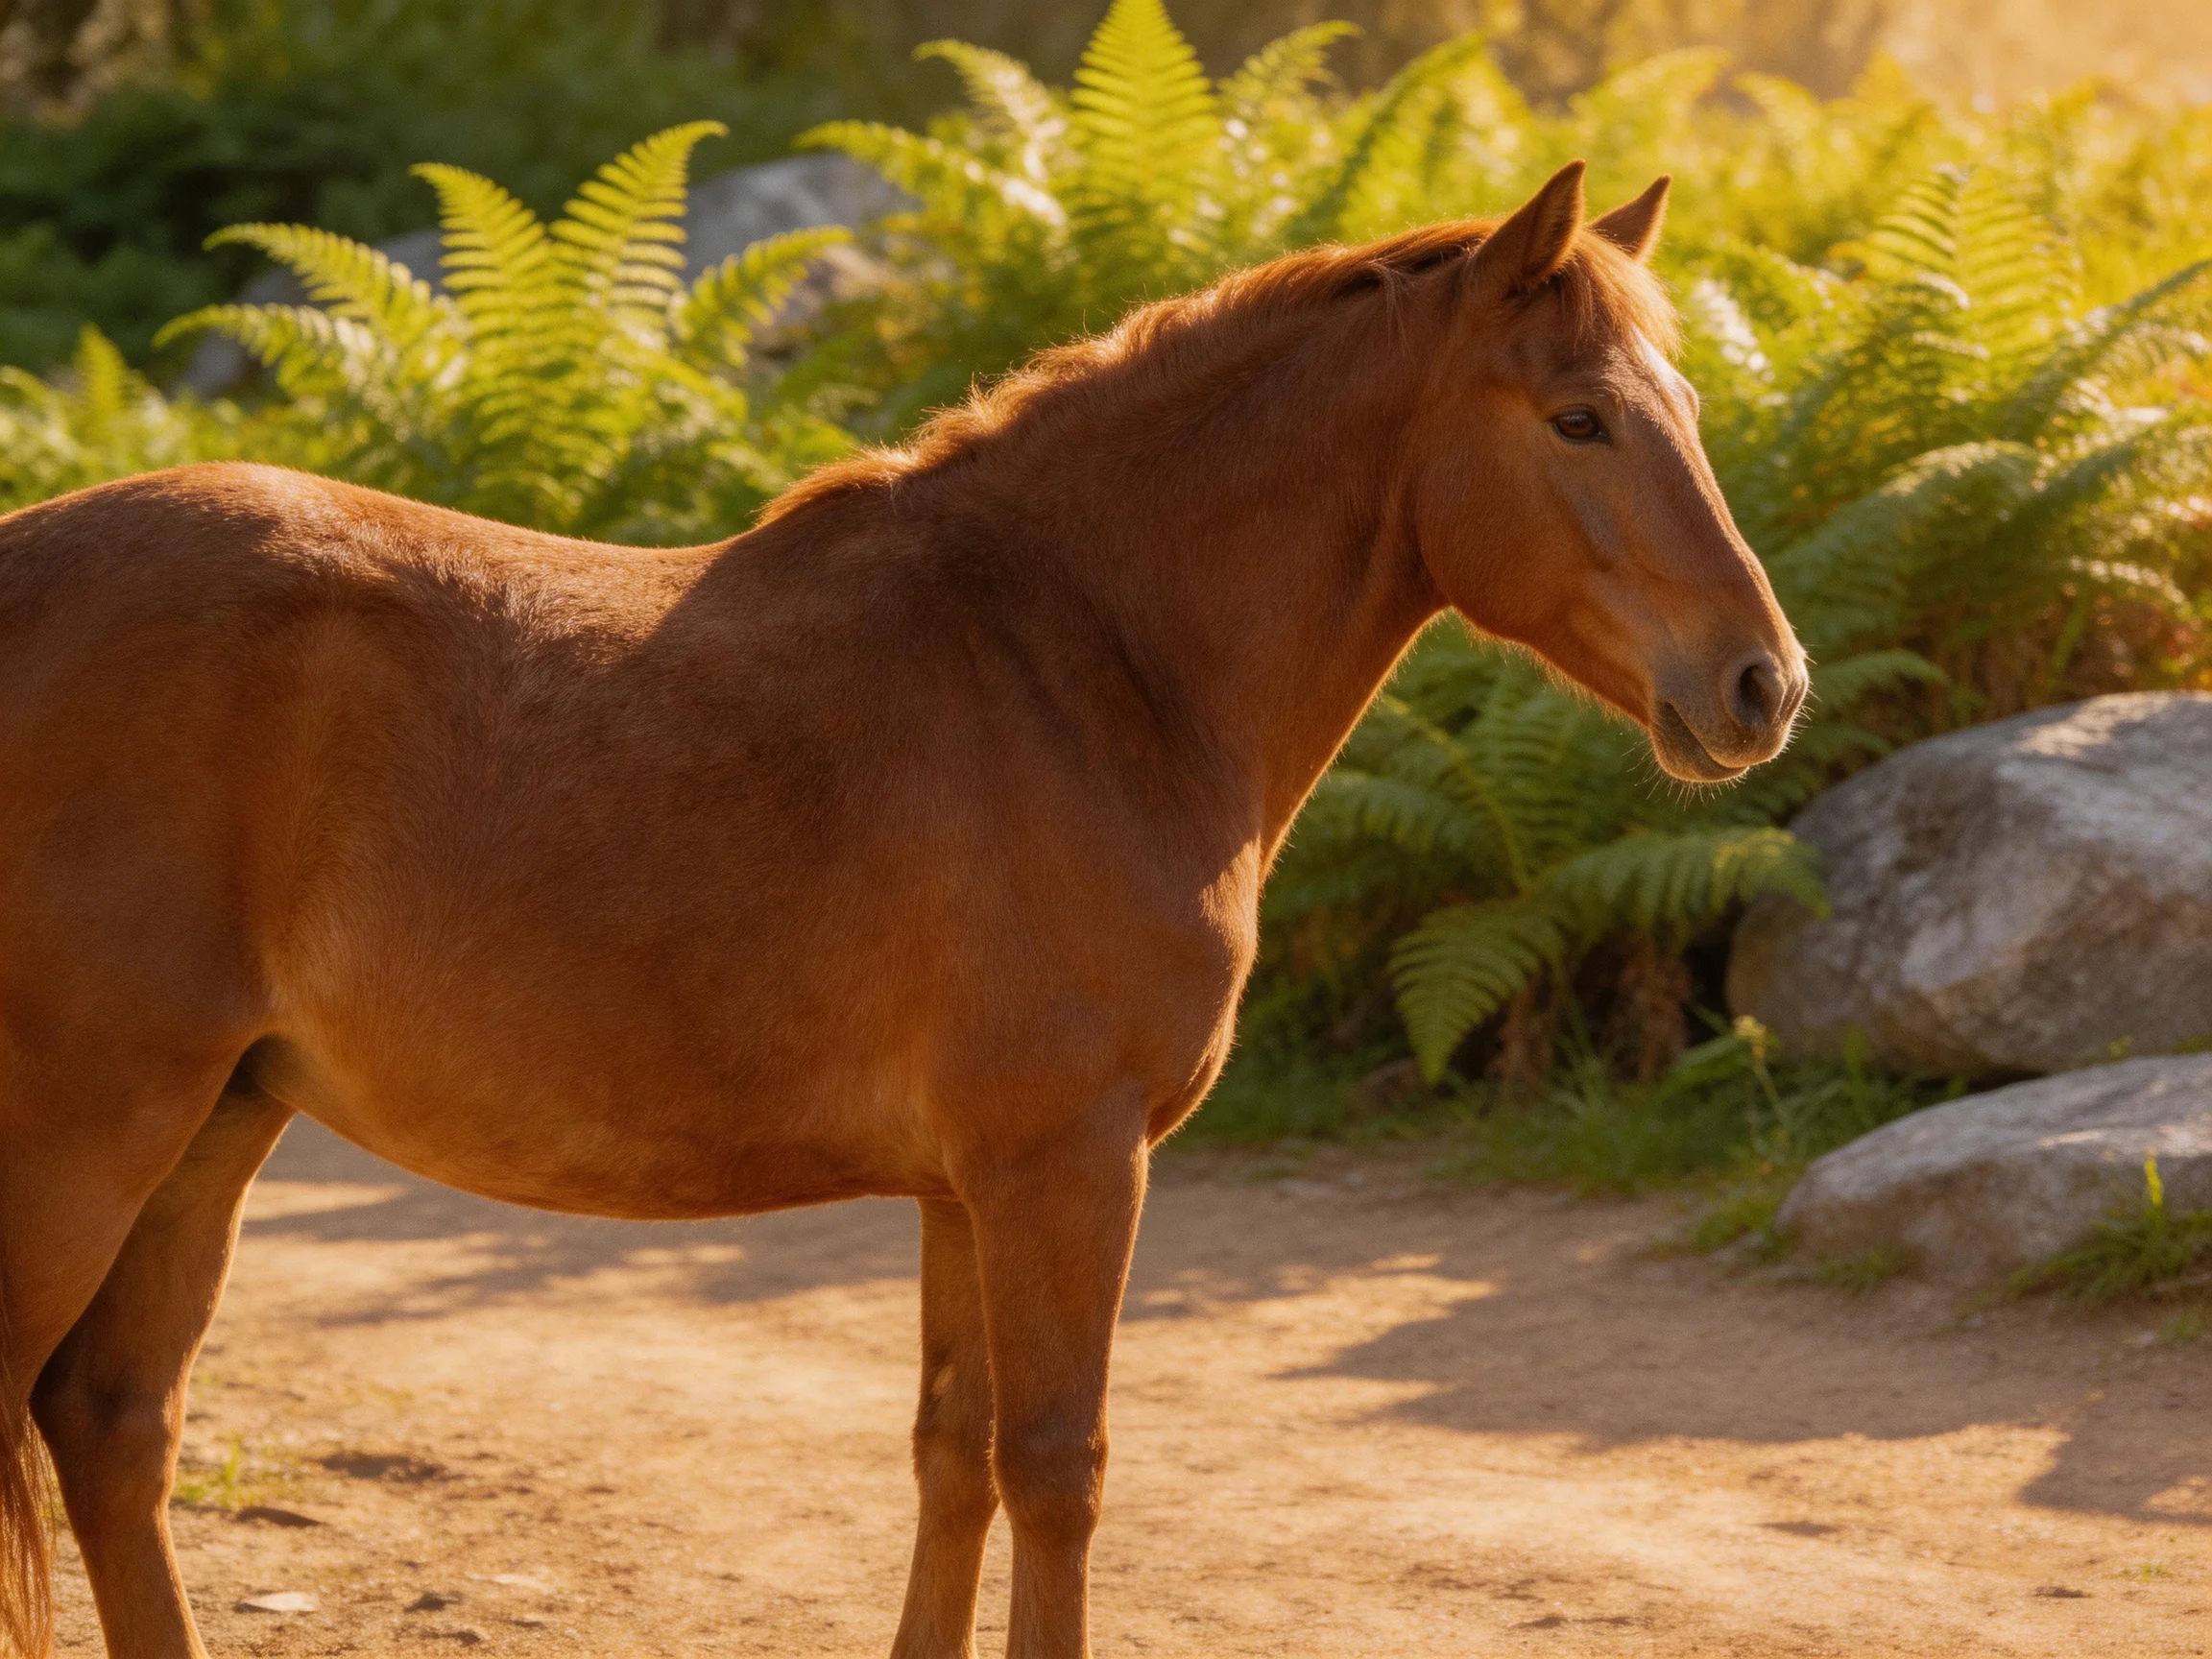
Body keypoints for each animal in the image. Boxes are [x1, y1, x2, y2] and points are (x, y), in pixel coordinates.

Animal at [0, 160, 1804, 1659]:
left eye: (1680, 402)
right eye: (1576, 418)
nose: (1759, 683)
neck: (1083, 664)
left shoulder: (962, 1189)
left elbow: (954, 1457)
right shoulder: (1066, 1163)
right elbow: (1056, 1467)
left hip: (218, 1121)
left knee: (112, 1423)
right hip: (96, 1130)